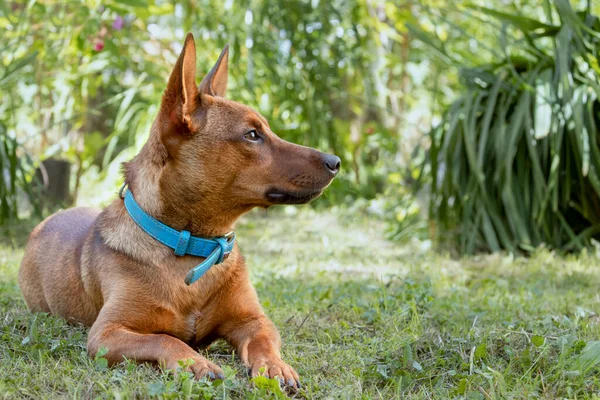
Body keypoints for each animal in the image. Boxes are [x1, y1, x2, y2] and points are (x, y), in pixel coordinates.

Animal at [17, 32, 338, 390]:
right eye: (252, 135)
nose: (336, 161)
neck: (195, 247)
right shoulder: (106, 334)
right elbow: (165, 338)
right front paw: (194, 362)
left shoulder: (253, 319)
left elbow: (263, 340)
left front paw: (275, 366)